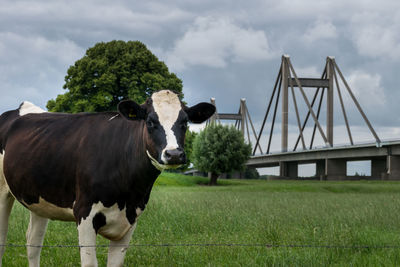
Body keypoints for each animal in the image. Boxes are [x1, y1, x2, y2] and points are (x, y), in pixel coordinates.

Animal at [0, 91, 216, 266]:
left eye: (184, 123)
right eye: (150, 122)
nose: (174, 154)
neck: (128, 194)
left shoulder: (131, 219)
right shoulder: (84, 212)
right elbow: (89, 263)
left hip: (40, 198)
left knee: (33, 242)